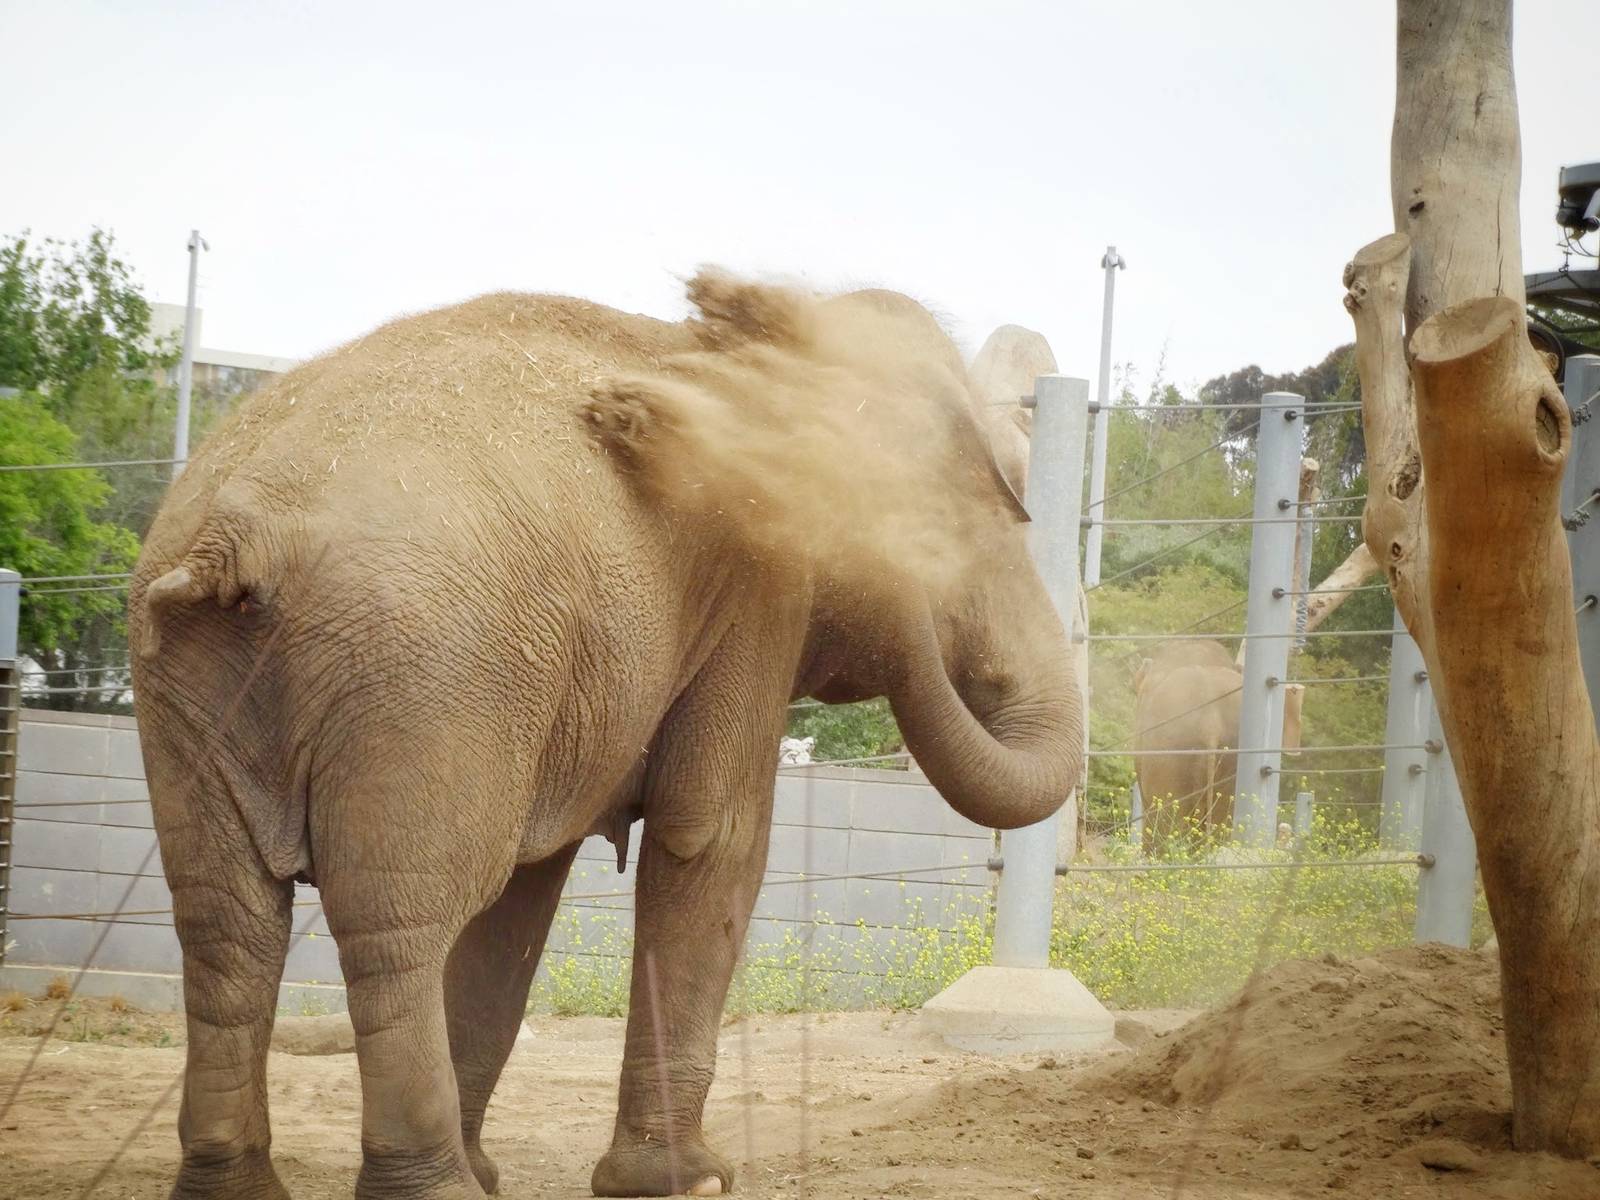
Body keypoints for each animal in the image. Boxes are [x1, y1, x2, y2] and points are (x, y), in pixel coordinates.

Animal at [128, 270, 1084, 1200]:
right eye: (991, 511)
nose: (908, 594)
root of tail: (237, 534)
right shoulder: (755, 598)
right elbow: (713, 842)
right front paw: (689, 1181)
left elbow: (524, 896)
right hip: (415, 675)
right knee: (396, 923)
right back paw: (433, 1187)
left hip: (194, 687)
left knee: (226, 925)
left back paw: (240, 1188)